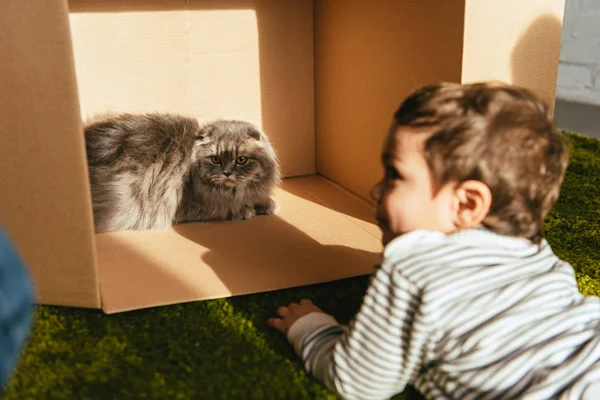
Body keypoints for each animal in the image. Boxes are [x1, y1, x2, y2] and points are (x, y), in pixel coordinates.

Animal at [84, 112, 282, 233]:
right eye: (215, 159)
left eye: (241, 160)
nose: (226, 173)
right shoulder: (197, 206)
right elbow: (225, 208)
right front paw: (245, 210)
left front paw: (267, 204)